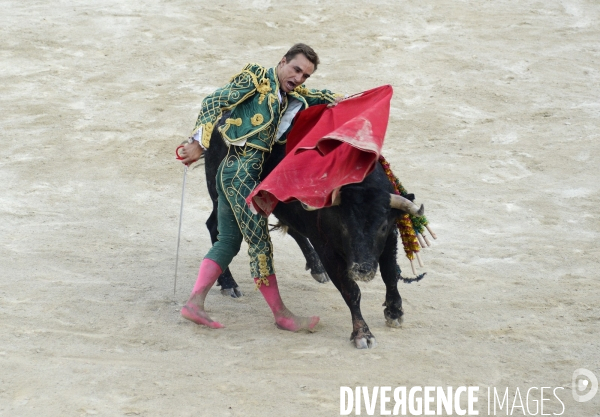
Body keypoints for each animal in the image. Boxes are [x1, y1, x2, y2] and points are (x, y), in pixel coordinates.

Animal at [202, 114, 422, 348]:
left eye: (381, 226)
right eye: (344, 225)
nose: (362, 270)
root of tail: (222, 121)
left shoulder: (390, 236)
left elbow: (390, 273)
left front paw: (394, 312)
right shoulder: (326, 248)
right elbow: (351, 290)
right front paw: (362, 334)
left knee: (291, 229)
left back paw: (316, 268)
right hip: (220, 196)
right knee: (215, 228)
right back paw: (228, 284)